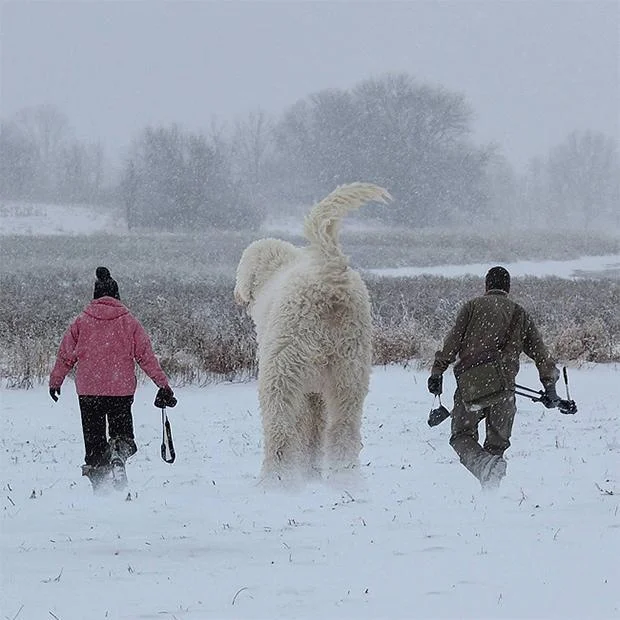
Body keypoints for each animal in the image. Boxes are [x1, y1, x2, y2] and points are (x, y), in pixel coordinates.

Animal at [235, 183, 390, 484]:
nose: (238, 295)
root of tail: (331, 278)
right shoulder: (315, 391)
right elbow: (314, 426)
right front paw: (310, 472)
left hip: (285, 364)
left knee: (280, 424)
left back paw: (274, 479)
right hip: (350, 369)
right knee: (344, 426)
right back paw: (345, 476)